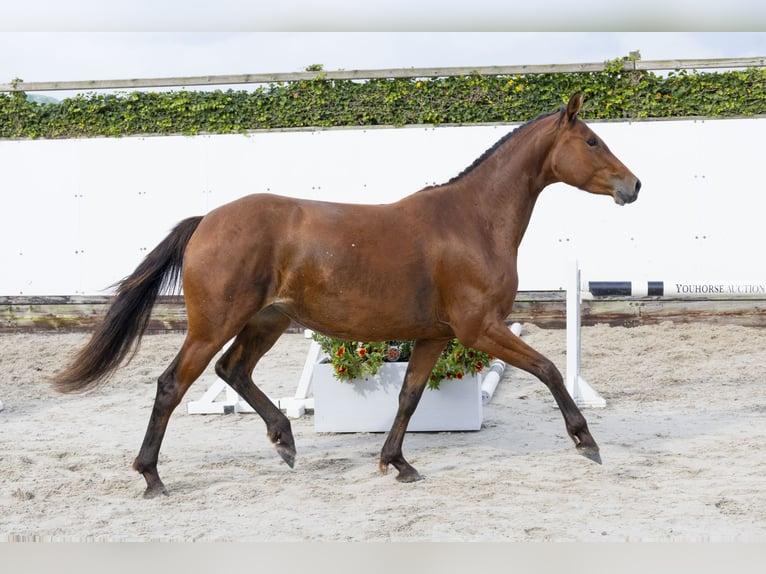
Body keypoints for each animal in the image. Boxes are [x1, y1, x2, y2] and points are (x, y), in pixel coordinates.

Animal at [52, 94, 640, 500]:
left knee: (233, 371)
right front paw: (586, 442)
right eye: (592, 141)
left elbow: (408, 398)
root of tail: (206, 221)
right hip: (215, 323)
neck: (471, 221)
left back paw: (285, 441)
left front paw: (397, 463)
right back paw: (152, 476)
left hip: (265, 321)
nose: (633, 186)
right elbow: (548, 369)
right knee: (174, 384)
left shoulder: (436, 336)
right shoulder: (481, 328)